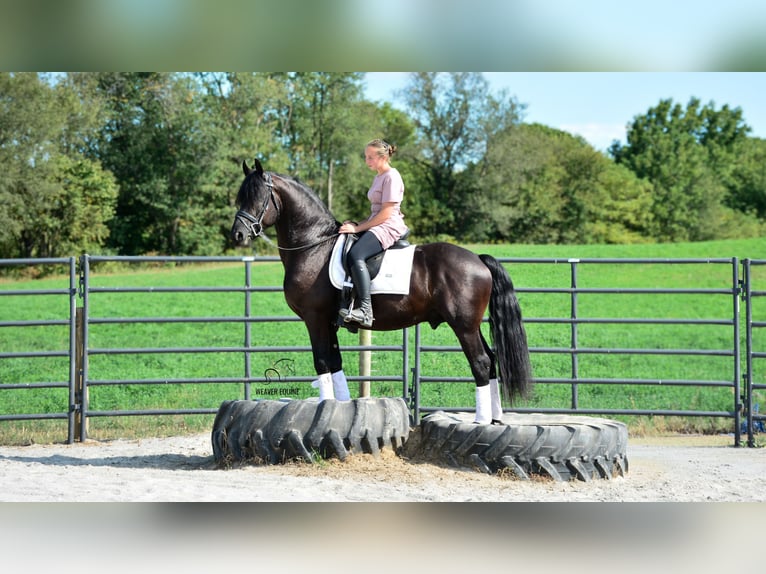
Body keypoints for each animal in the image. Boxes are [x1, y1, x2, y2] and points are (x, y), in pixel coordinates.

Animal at [230, 158, 533, 424]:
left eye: (257, 197)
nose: (238, 235)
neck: (314, 246)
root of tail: (478, 260)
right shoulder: (329, 321)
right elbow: (335, 361)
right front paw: (340, 408)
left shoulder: (314, 318)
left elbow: (322, 362)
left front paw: (325, 408)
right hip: (471, 325)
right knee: (491, 360)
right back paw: (494, 418)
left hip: (464, 325)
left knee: (480, 362)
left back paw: (481, 420)